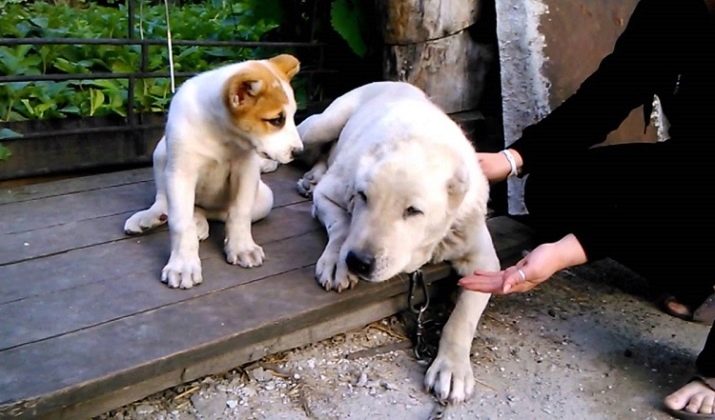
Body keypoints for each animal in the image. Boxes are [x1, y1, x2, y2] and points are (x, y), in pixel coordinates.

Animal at [124, 54, 303, 289]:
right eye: (275, 120)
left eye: (292, 116)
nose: (299, 152)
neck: (221, 132)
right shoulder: (181, 173)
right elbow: (180, 222)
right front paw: (183, 265)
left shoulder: (246, 170)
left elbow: (239, 213)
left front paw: (242, 247)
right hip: (161, 153)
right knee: (165, 202)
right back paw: (152, 216)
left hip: (265, 198)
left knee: (213, 212)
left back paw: (199, 222)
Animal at [296, 81, 501, 403]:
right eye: (363, 196)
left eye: (413, 211)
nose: (358, 262)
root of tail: (395, 82)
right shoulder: (331, 195)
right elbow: (341, 225)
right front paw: (337, 262)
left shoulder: (484, 260)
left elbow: (463, 317)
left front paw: (452, 368)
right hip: (319, 127)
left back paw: (312, 177)